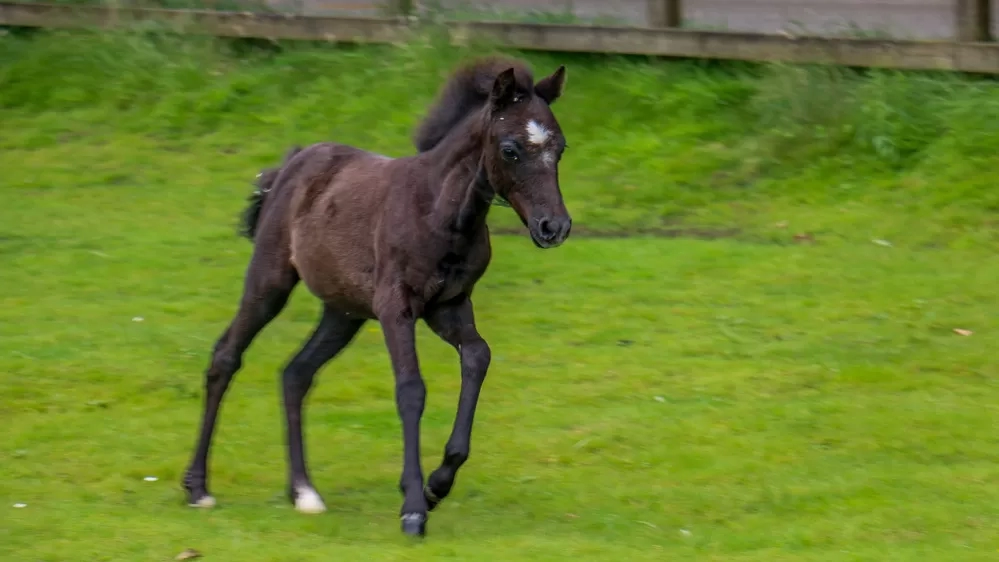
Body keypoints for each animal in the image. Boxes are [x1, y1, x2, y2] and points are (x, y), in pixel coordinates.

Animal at [182, 55, 572, 532]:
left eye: (560, 147)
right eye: (511, 149)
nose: (554, 226)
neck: (440, 212)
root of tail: (293, 162)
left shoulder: (449, 306)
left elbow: (478, 357)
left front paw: (438, 484)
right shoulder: (395, 307)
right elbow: (411, 389)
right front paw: (414, 507)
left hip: (343, 311)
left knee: (296, 373)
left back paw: (304, 492)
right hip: (269, 282)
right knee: (226, 356)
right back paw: (198, 488)